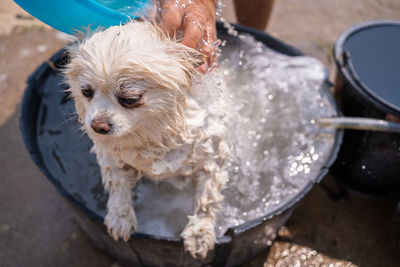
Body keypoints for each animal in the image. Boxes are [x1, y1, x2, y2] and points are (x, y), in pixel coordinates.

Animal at [64, 21, 230, 260]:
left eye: (129, 99)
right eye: (86, 92)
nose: (98, 126)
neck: (152, 134)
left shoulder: (210, 158)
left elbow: (206, 199)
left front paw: (199, 232)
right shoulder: (112, 156)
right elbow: (118, 185)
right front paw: (120, 217)